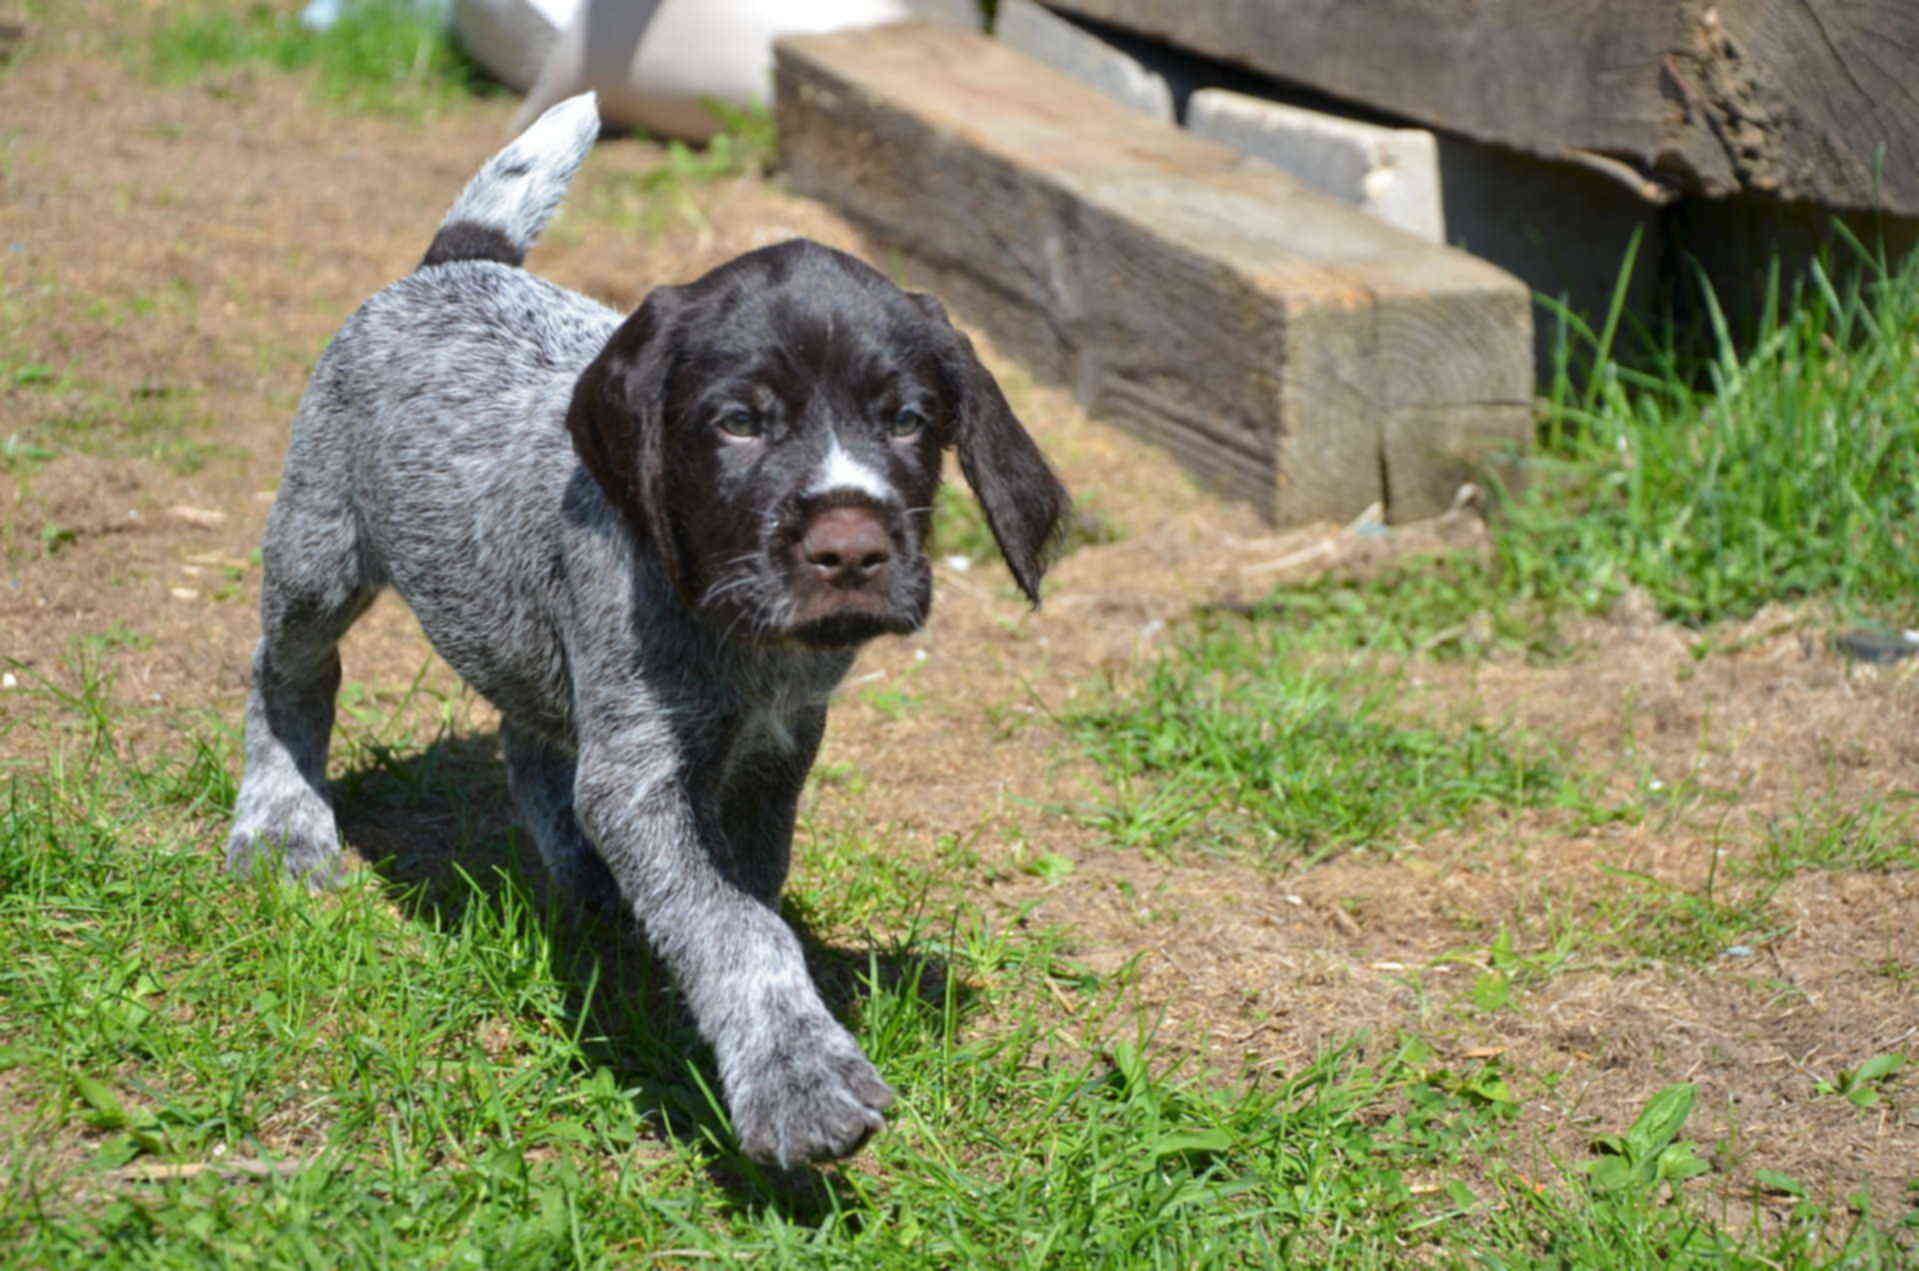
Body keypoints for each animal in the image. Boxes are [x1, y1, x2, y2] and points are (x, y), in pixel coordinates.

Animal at [226, 92, 1074, 1167]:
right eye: (738, 423)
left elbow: (745, 897)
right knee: (288, 673)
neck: (745, 640)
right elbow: (737, 927)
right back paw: (281, 822)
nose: (850, 549)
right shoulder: (642, 771)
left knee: (528, 737)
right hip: (319, 550)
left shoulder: (774, 751)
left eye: (909, 419)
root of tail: (454, 263)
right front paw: (795, 1072)